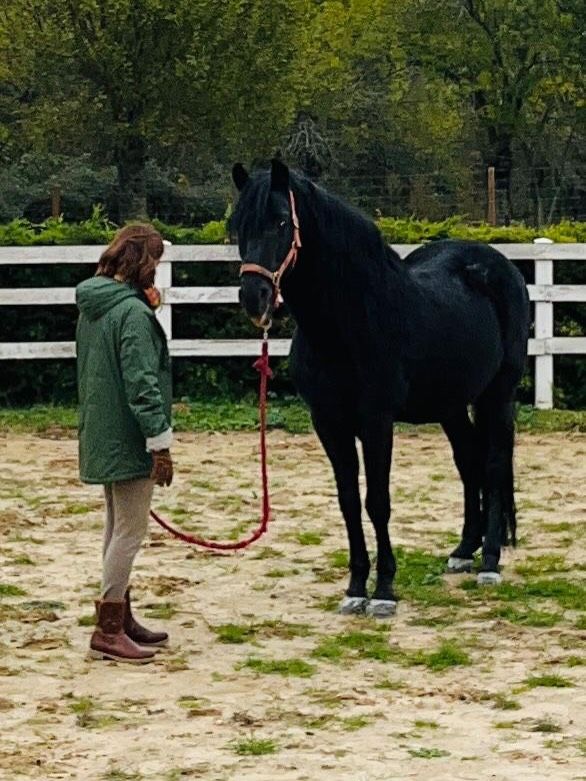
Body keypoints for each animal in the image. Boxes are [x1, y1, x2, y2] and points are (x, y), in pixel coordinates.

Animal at [231, 159, 530, 617]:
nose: (255, 297)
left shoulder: (376, 421)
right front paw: (356, 588)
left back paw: (490, 562)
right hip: (449, 404)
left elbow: (378, 501)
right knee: (469, 461)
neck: (348, 322)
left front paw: (385, 590)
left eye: (281, 220)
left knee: (495, 465)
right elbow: (349, 503)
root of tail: (500, 265)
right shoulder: (329, 423)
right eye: (238, 227)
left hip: (498, 394)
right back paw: (464, 550)